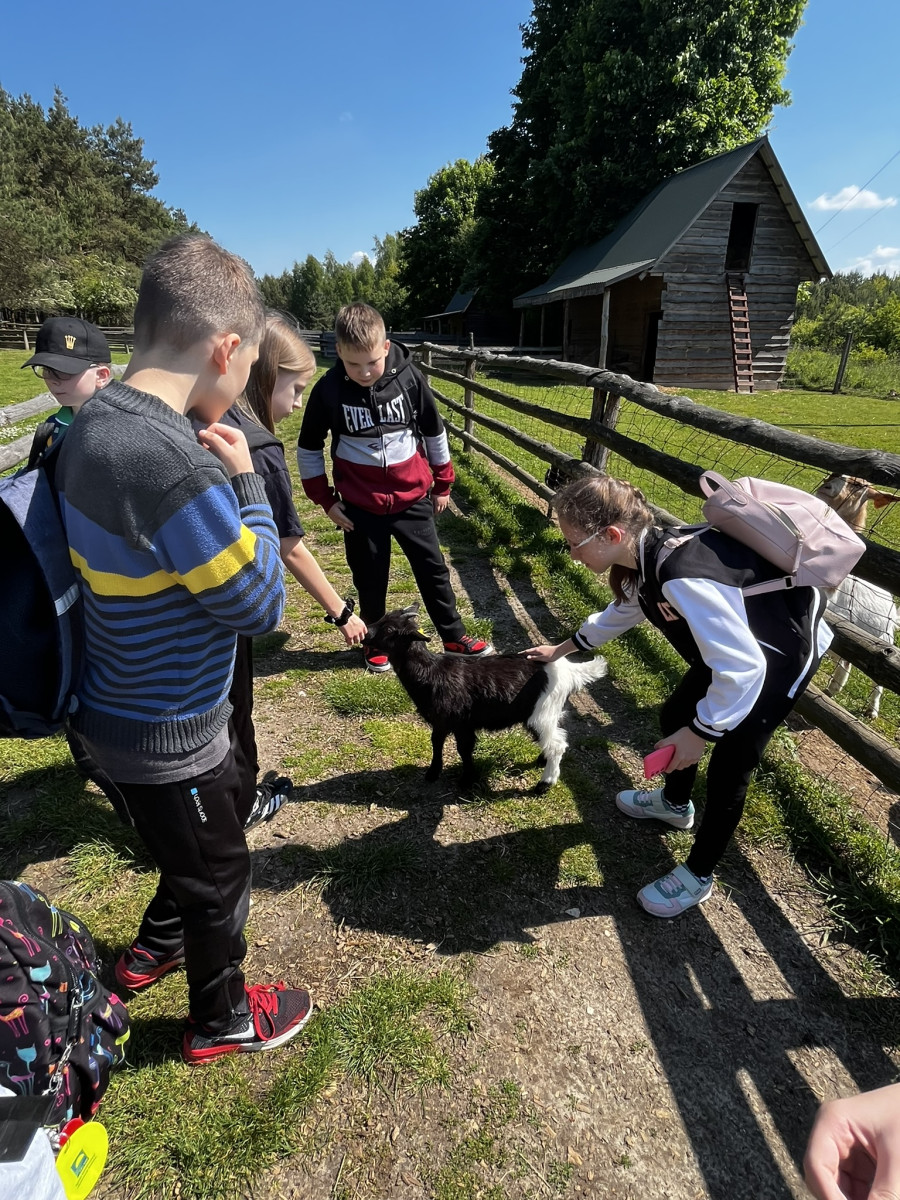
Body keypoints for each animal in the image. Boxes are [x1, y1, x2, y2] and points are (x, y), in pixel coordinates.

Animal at [364, 605, 608, 790]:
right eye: (383, 617)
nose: (365, 634)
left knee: (557, 745)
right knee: (553, 738)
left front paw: (466, 781)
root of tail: (569, 671)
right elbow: (436, 742)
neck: (432, 672)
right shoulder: (441, 721)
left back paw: (544, 783)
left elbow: (464, 749)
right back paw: (542, 760)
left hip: (542, 712)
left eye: (390, 629)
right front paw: (433, 773)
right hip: (544, 712)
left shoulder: (461, 723)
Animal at [815, 473, 900, 719]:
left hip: (881, 637)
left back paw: (872, 710)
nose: (826, 486)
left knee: (877, 677)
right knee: (845, 662)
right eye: (834, 474)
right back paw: (833, 689)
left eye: (859, 485)